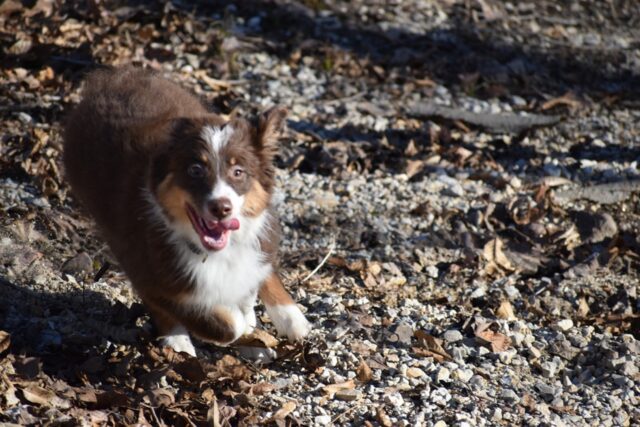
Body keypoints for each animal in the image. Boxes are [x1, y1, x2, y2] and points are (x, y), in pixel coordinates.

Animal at [65, 65, 312, 356]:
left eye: (238, 172)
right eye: (195, 170)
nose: (221, 207)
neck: (215, 253)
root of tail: (110, 79)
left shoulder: (259, 242)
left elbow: (258, 273)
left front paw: (280, 318)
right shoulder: (152, 273)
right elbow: (224, 322)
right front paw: (238, 321)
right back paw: (179, 343)